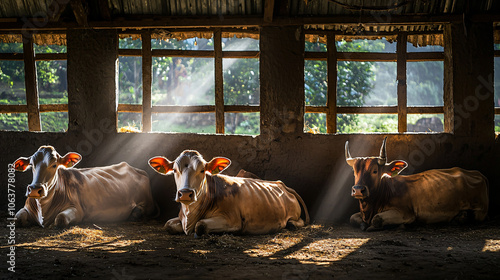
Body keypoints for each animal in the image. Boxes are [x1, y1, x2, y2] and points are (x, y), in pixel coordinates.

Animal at [13, 145, 155, 229]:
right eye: (31, 165)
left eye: (54, 165)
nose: (35, 189)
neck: (44, 209)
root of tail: (135, 169)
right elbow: (17, 219)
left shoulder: (77, 210)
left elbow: (60, 219)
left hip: (148, 203)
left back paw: (135, 213)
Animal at [147, 151, 308, 236]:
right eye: (174, 170)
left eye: (202, 170)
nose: (185, 193)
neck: (190, 216)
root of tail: (281, 183)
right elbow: (167, 224)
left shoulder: (232, 219)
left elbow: (201, 225)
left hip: (294, 213)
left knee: (299, 221)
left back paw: (292, 224)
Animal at [344, 138, 488, 232]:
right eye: (354, 172)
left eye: (375, 171)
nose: (358, 190)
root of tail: (476, 173)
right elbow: (352, 218)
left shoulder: (405, 213)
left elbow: (376, 219)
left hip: (480, 210)